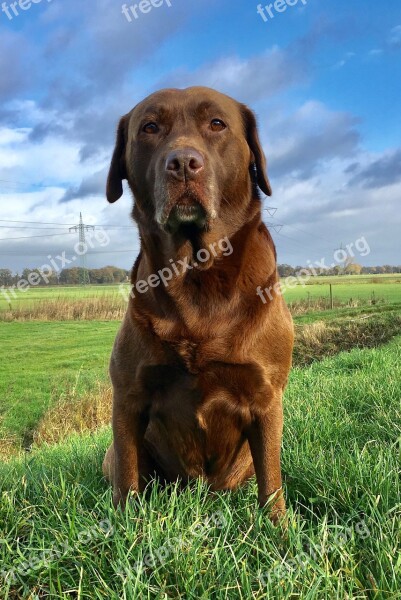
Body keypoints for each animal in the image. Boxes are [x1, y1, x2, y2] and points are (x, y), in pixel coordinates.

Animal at [101, 86, 292, 524]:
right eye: (150, 127)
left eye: (217, 124)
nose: (184, 163)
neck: (195, 277)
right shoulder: (128, 397)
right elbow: (127, 478)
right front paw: (124, 528)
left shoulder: (266, 397)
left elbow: (271, 482)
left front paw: (279, 531)